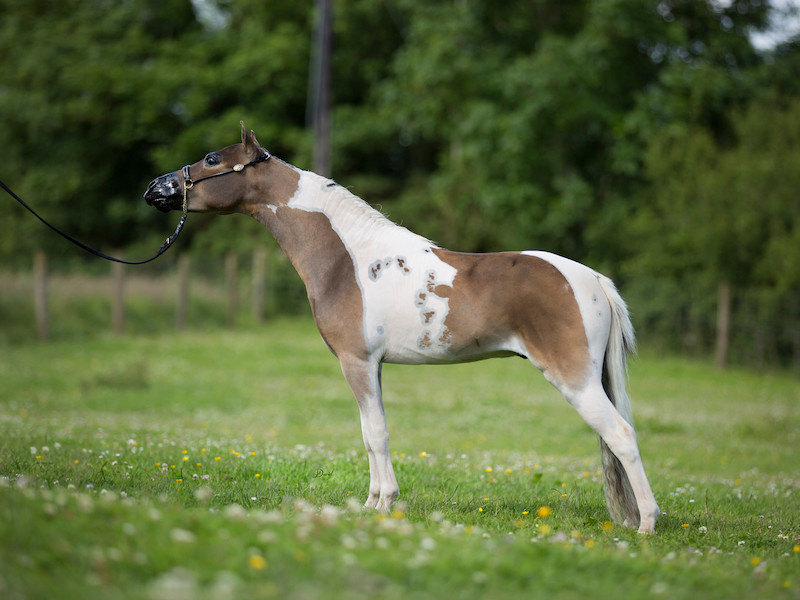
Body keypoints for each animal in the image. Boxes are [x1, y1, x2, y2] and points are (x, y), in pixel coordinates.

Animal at [144, 122, 660, 533]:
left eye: (212, 160)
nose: (155, 188)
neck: (349, 259)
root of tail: (593, 280)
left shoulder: (356, 362)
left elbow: (377, 434)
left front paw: (383, 504)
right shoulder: (369, 366)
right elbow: (370, 432)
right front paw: (372, 502)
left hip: (574, 379)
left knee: (622, 436)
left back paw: (646, 525)